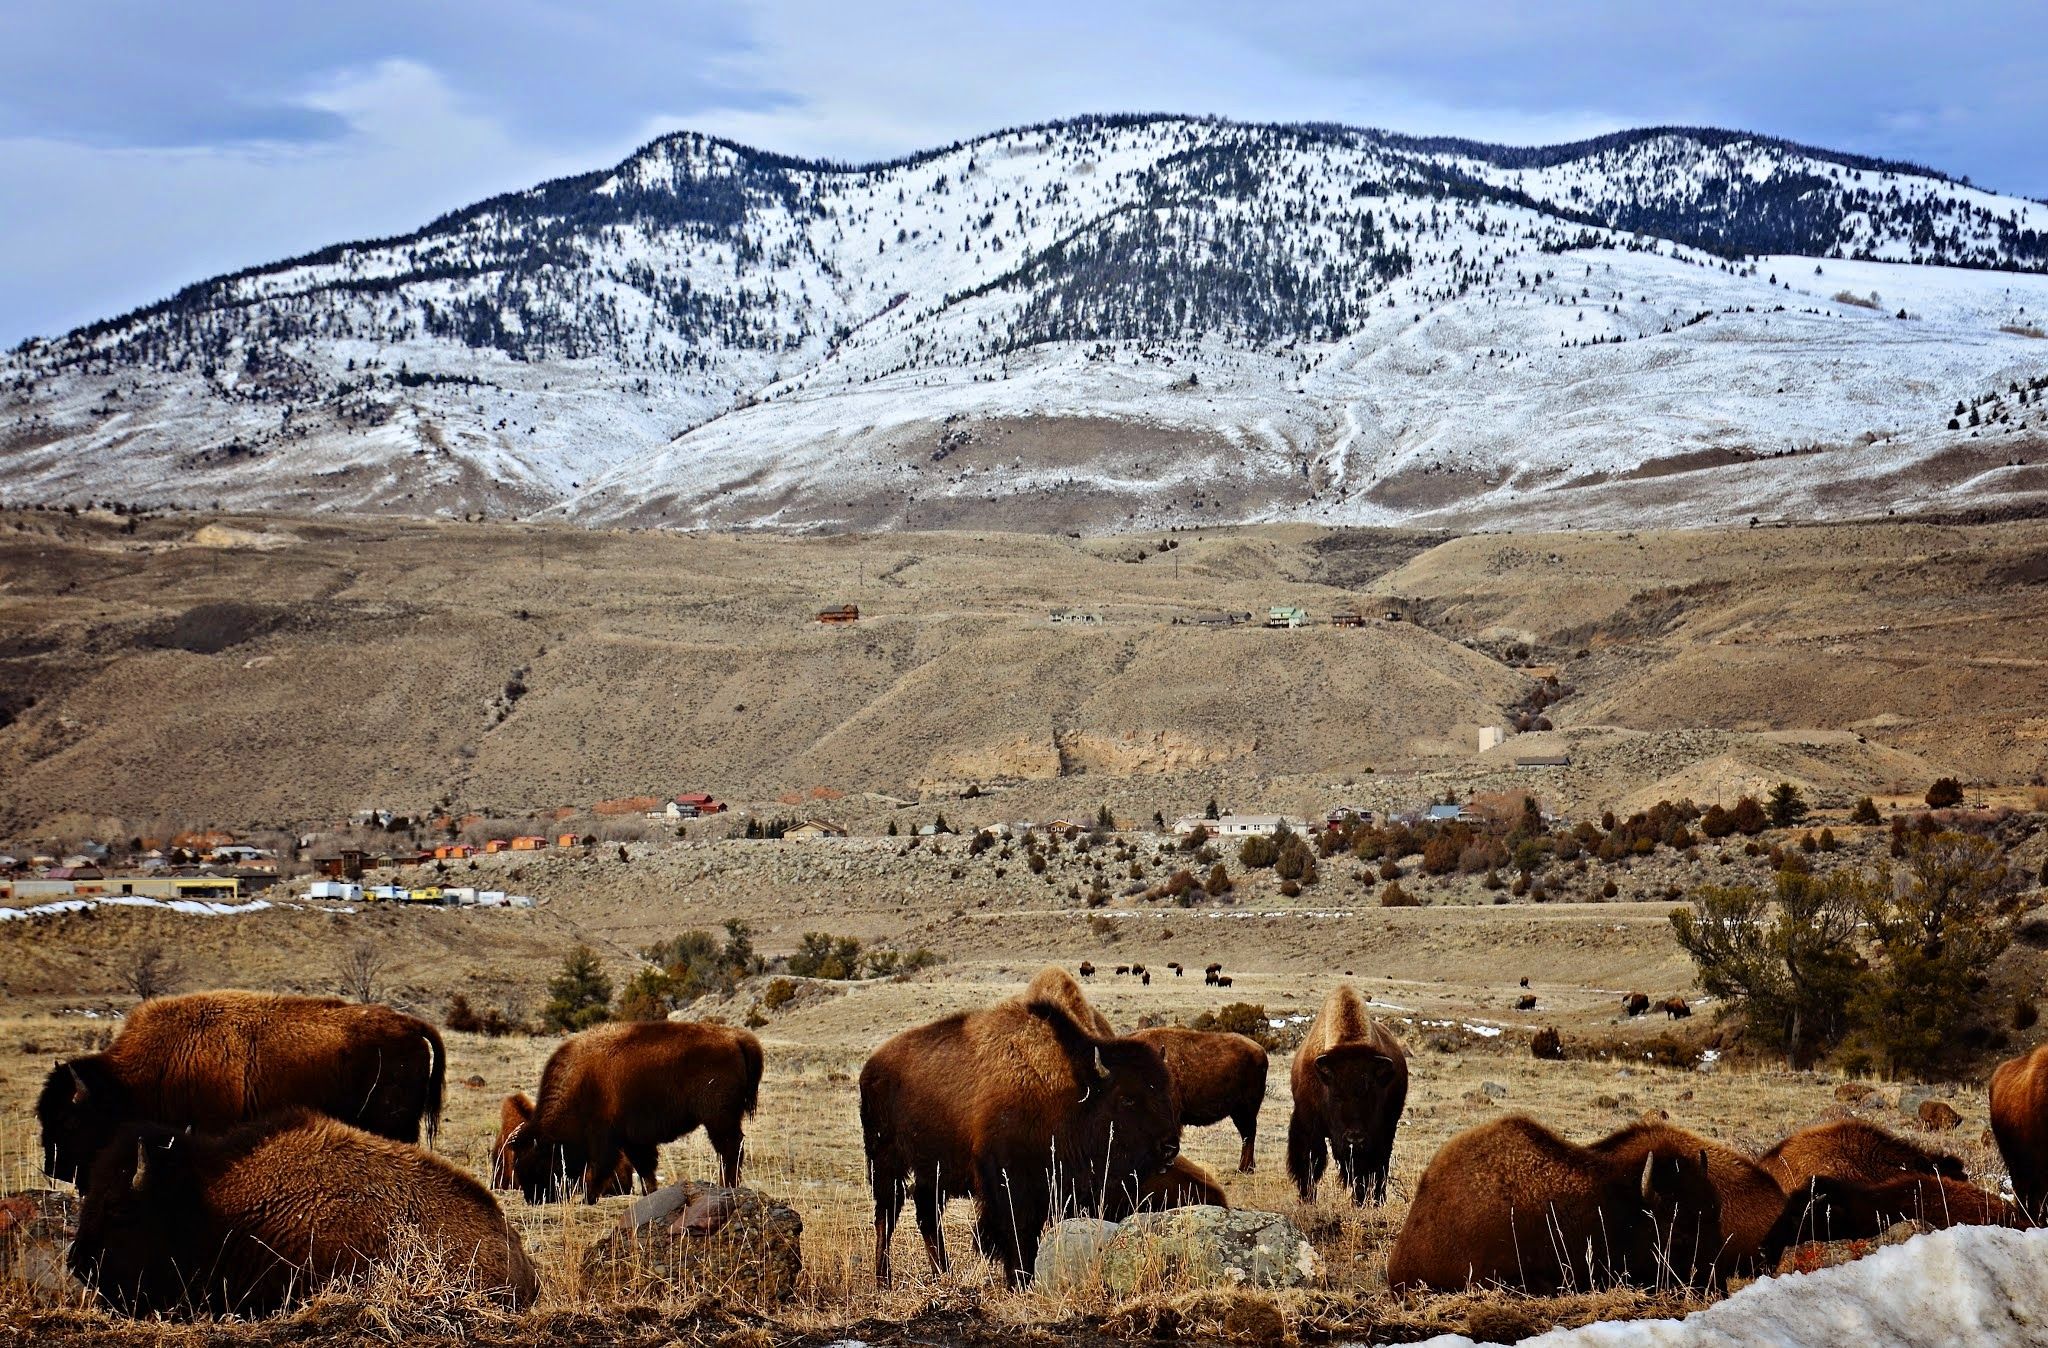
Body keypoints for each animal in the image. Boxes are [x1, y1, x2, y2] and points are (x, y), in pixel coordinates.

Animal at [494, 1019, 762, 1204]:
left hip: (719, 1119)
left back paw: (727, 1185)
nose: (534, 1198)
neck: (581, 1083)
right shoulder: (634, 1141)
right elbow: (645, 1169)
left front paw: (588, 1198)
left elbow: (601, 1170)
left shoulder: (606, 1141)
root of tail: (737, 1039)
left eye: (535, 1161)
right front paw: (649, 1194)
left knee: (730, 1150)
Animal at [859, 972, 1180, 1285]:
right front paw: (1018, 1279)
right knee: (886, 1216)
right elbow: (1016, 1233)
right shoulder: (1008, 1181)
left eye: (1165, 1092)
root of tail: (871, 1065)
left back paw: (942, 1274)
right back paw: (884, 1278)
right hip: (886, 1161)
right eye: (1127, 1098)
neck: (1072, 1088)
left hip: (932, 1170)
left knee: (926, 1214)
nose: (1169, 1146)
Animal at [1287, 984, 1407, 1204]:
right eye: (1336, 1096)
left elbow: (1367, 1171)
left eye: (1371, 1095)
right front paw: (1307, 1199)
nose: (1355, 1139)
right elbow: (1310, 1161)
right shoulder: (1308, 1124)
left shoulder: (1379, 1132)